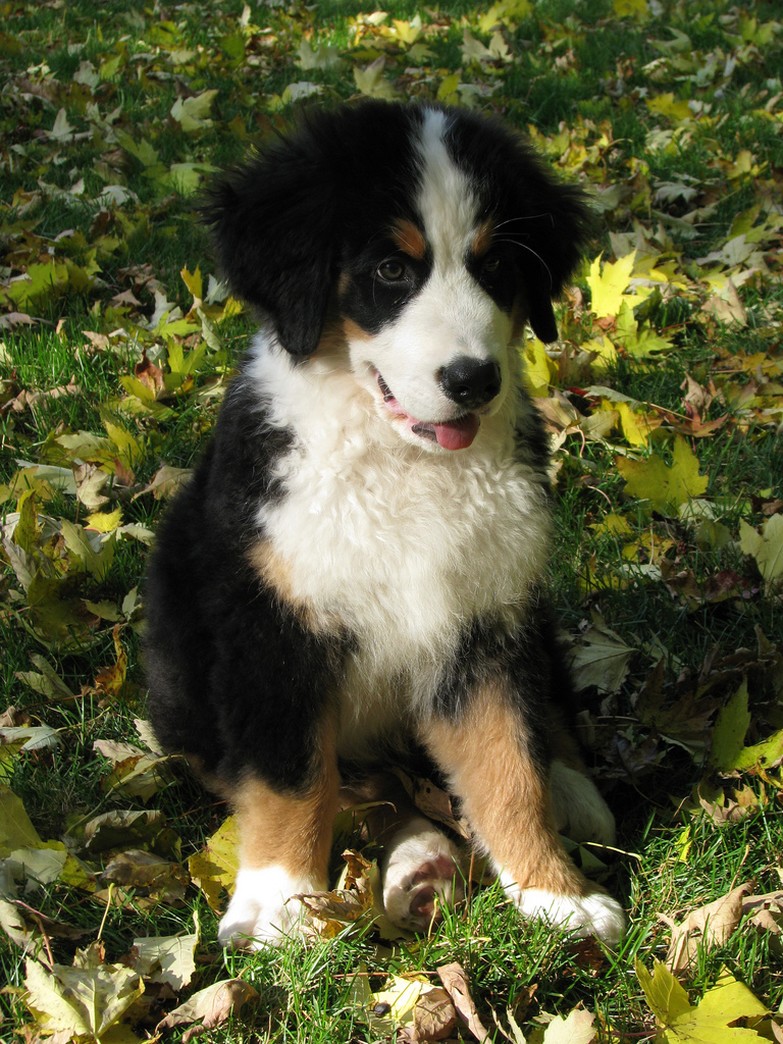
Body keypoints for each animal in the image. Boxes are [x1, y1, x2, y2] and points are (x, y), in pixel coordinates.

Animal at [146, 101, 626, 952]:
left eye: (494, 266)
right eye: (391, 271)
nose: (473, 381)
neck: (400, 462)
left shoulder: (482, 619)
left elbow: (508, 763)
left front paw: (550, 892)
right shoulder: (274, 626)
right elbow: (292, 775)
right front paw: (278, 899)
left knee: (534, 721)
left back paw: (563, 792)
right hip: (180, 663)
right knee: (360, 787)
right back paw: (417, 862)